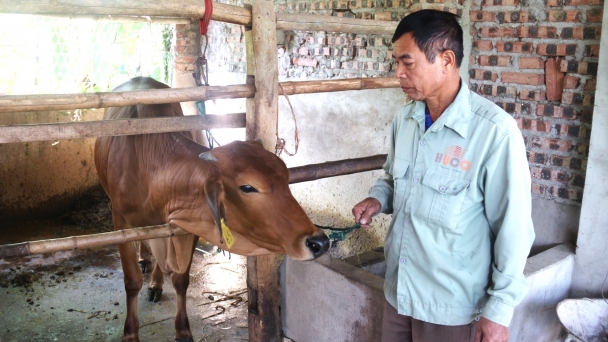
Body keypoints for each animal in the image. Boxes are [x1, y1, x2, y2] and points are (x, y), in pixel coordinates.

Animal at [95, 77, 330, 342]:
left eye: (286, 177)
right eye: (248, 187)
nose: (319, 242)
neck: (151, 167)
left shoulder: (185, 226)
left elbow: (180, 279)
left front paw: (183, 330)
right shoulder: (120, 223)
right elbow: (132, 281)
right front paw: (130, 333)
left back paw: (155, 282)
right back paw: (145, 259)